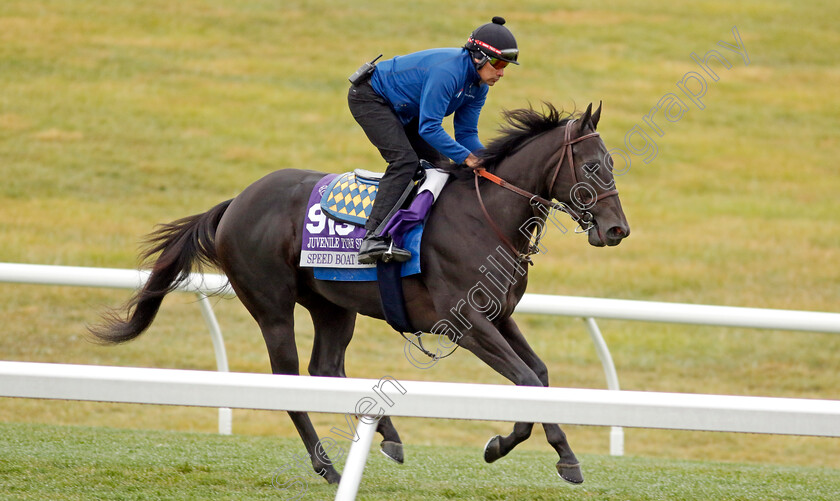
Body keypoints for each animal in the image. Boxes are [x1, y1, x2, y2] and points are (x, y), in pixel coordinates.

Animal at [92, 102, 632, 484]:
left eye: (611, 164)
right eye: (593, 167)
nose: (617, 230)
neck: (488, 216)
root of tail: (236, 202)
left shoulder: (498, 315)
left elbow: (538, 376)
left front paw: (548, 451)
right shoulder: (465, 322)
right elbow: (523, 379)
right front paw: (518, 448)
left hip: (333, 306)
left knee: (326, 368)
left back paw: (385, 434)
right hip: (272, 307)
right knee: (289, 382)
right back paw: (329, 467)